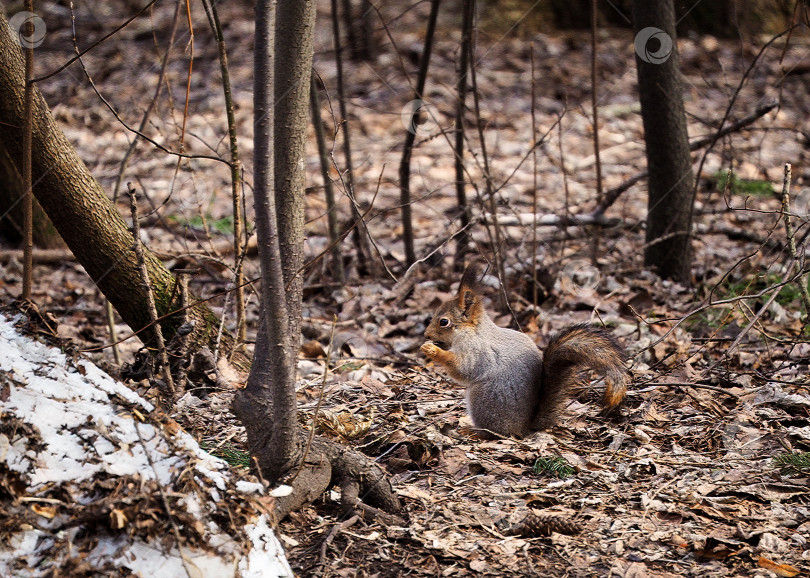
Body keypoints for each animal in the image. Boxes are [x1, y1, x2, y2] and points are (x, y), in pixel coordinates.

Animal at [420, 268, 628, 434]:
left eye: (444, 321)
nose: (426, 334)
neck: (473, 331)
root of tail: (523, 427)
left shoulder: (476, 350)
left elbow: (463, 369)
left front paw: (432, 351)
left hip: (484, 399)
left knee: (493, 432)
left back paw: (474, 432)